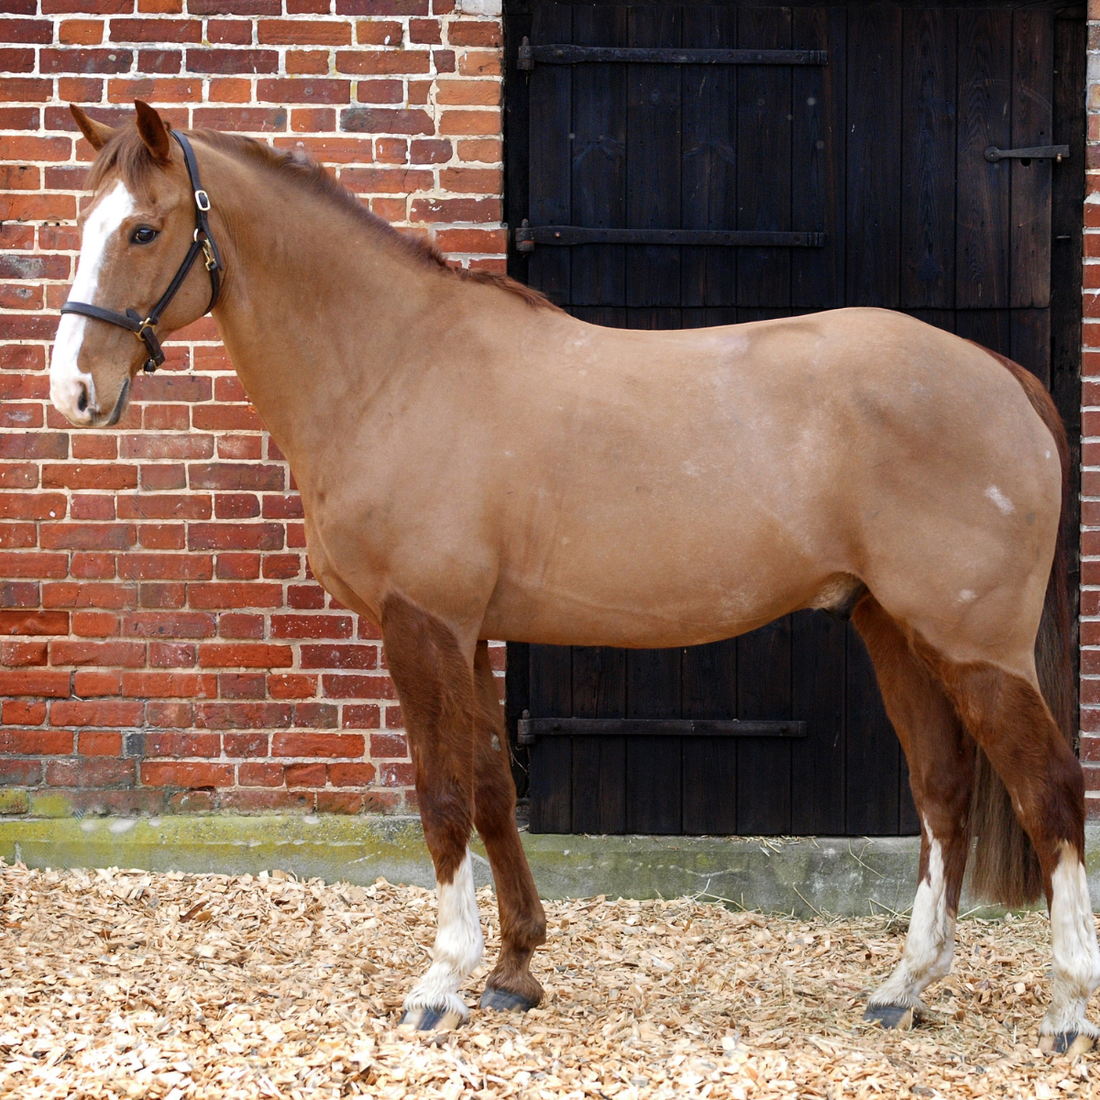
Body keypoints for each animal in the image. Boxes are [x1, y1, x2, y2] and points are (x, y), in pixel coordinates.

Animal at [49, 101, 1100, 1053]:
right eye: (79, 222)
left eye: (144, 229)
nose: (74, 392)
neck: (396, 366)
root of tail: (1002, 375)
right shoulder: (469, 629)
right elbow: (487, 788)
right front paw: (516, 970)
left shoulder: (419, 623)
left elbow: (439, 797)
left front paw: (442, 982)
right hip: (891, 625)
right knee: (943, 791)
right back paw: (903, 988)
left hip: (976, 646)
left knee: (1048, 790)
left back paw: (1066, 1010)